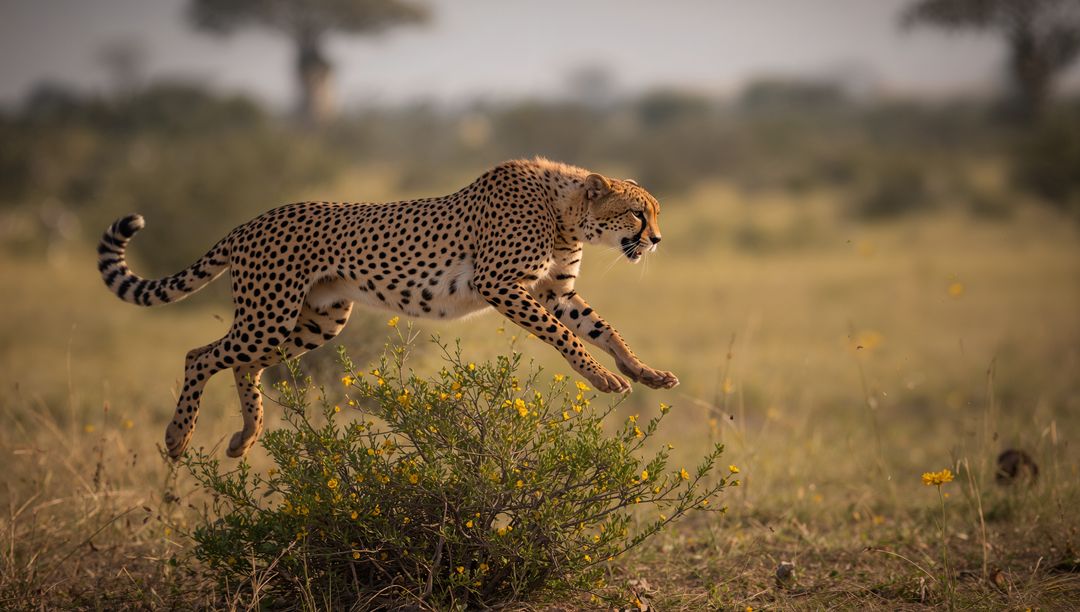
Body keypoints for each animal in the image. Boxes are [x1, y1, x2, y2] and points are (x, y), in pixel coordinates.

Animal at [97, 157, 678, 459]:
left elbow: (602, 329)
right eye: (636, 214)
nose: (656, 240)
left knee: (243, 365)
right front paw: (603, 379)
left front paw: (643, 372)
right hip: (270, 316)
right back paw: (177, 438)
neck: (565, 211)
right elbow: (567, 337)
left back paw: (246, 436)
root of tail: (253, 220)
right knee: (200, 355)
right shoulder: (500, 284)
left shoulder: (554, 293)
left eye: (652, 214)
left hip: (317, 320)